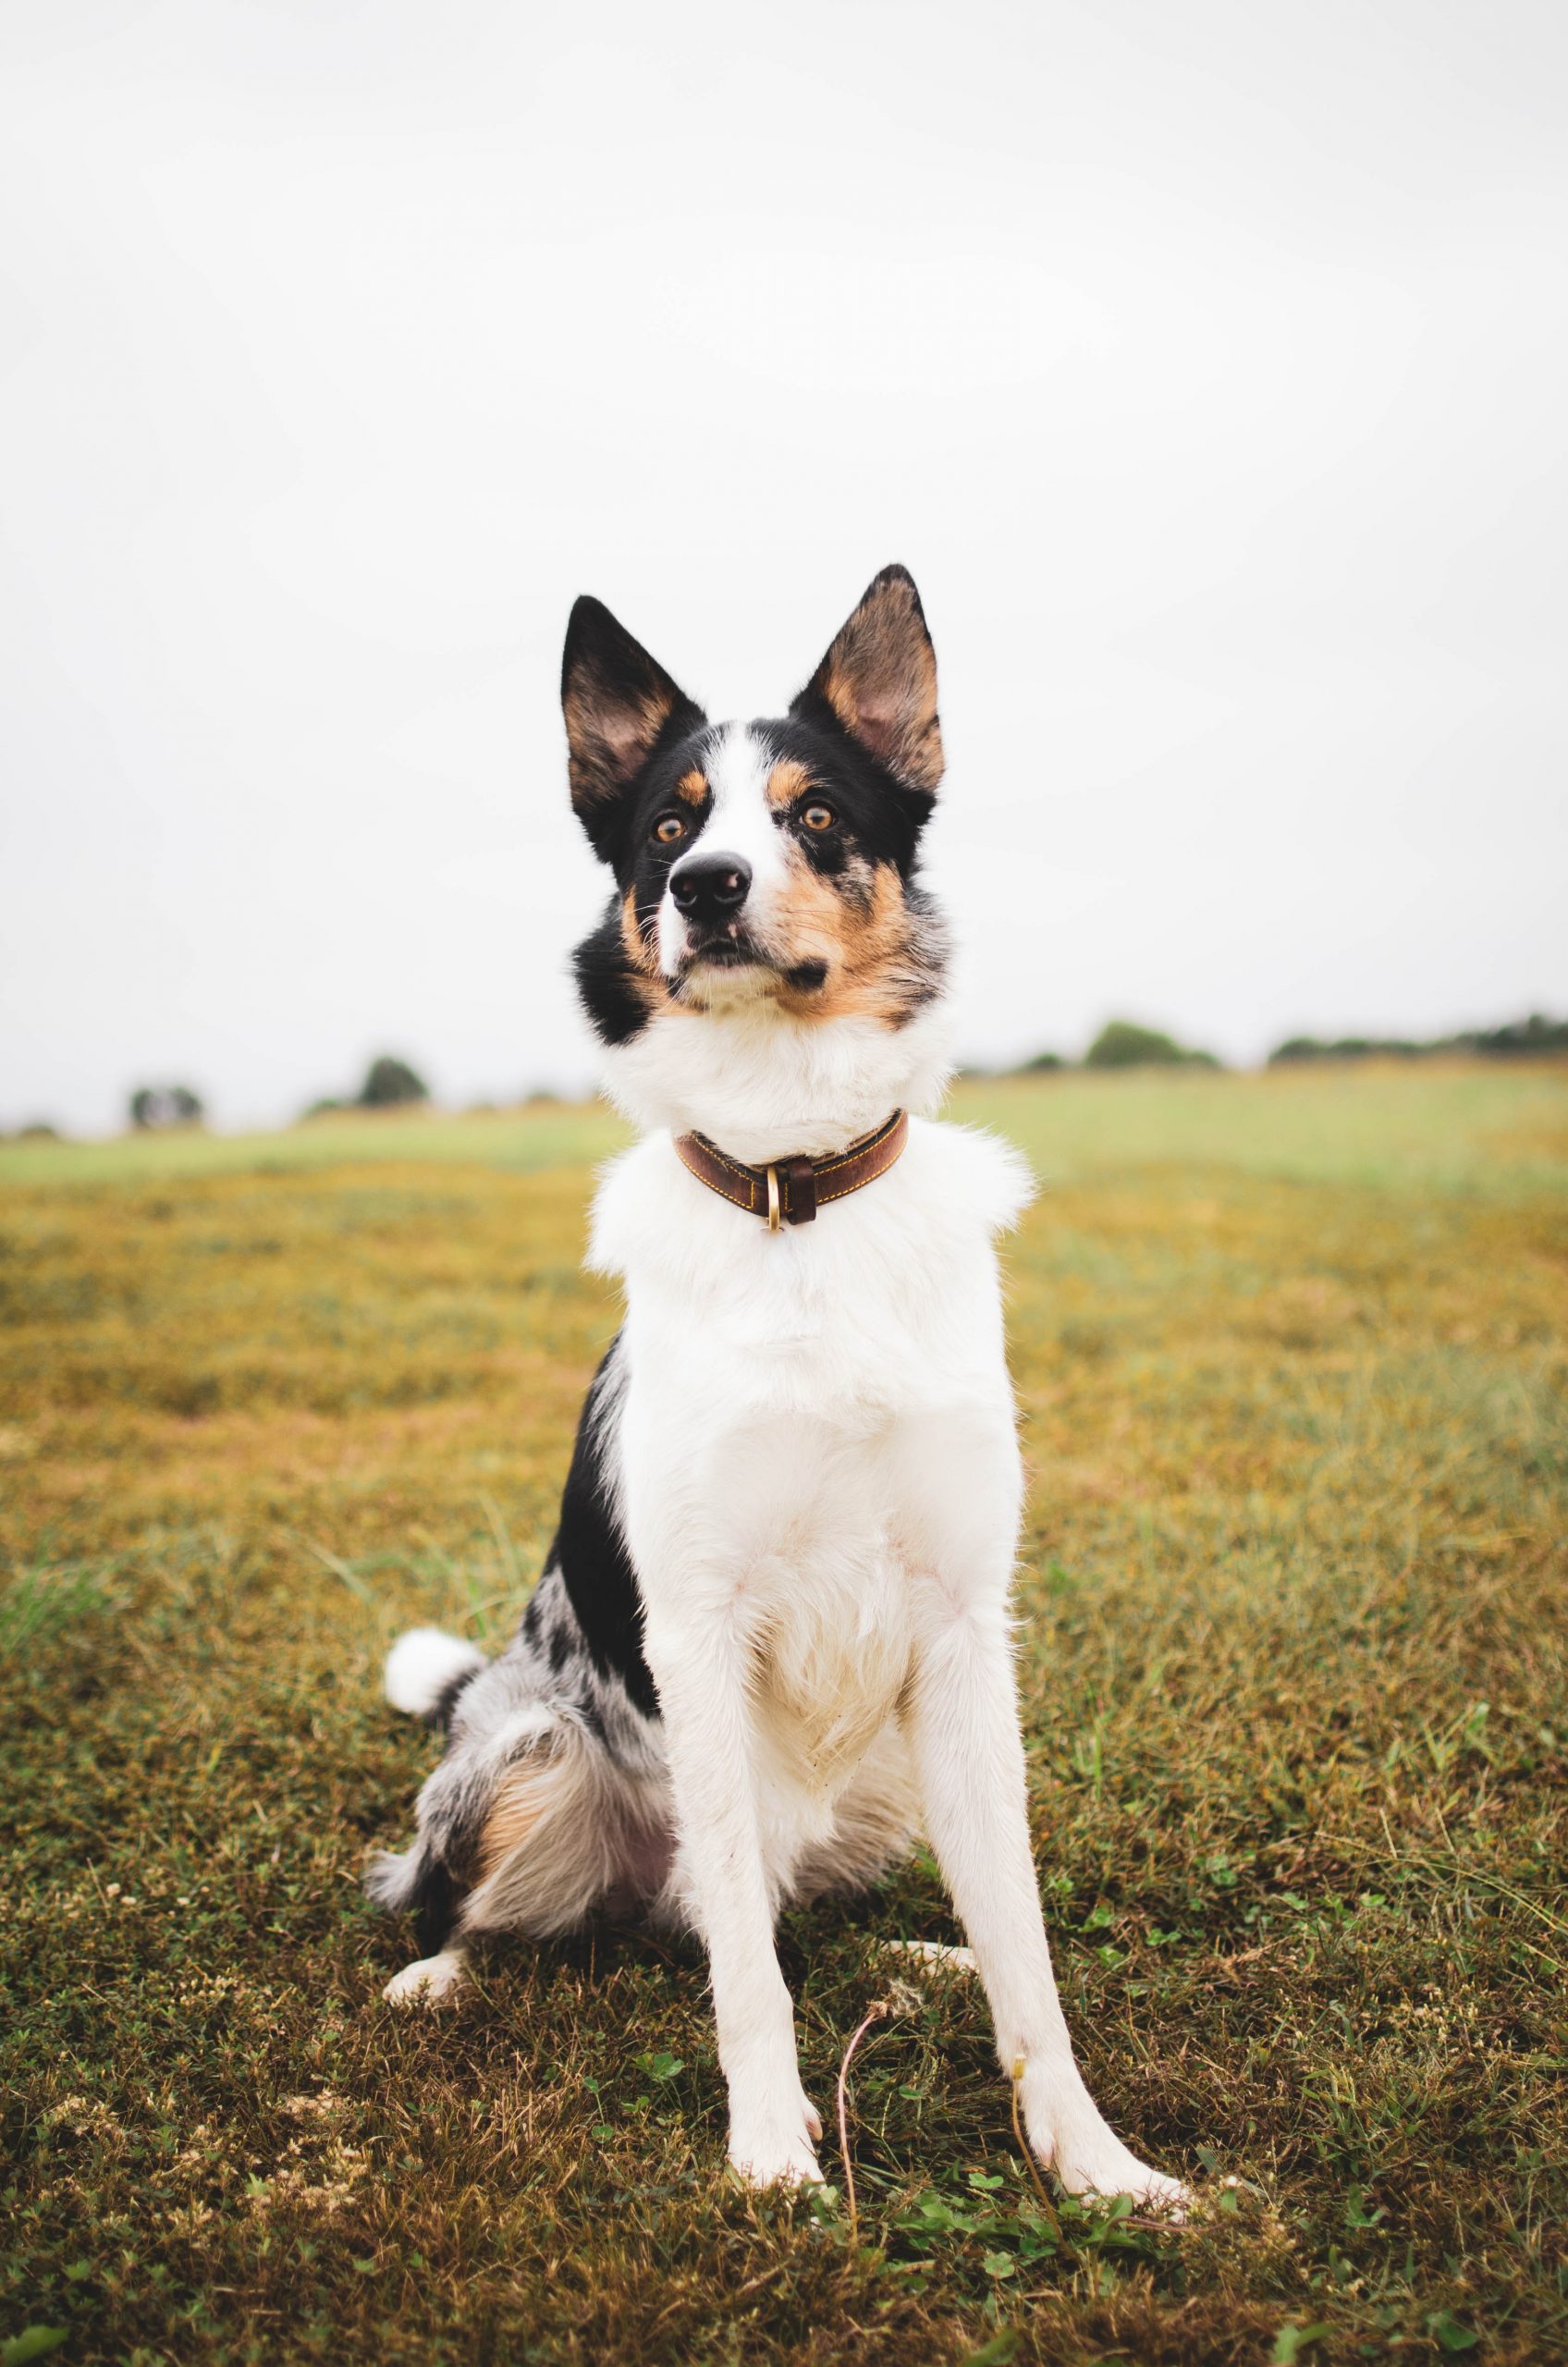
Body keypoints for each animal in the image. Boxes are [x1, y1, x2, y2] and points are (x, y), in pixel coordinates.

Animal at [364, 563, 1179, 2205]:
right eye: (667, 829)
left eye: (812, 816)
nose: (709, 887)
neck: (794, 1183)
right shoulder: (698, 1627)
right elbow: (745, 1965)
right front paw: (770, 2158)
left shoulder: (963, 1626)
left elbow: (1027, 1950)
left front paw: (1094, 2161)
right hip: (531, 1750)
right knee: (528, 1908)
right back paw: (440, 1973)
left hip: (893, 1765)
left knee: (826, 1907)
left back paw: (925, 1960)